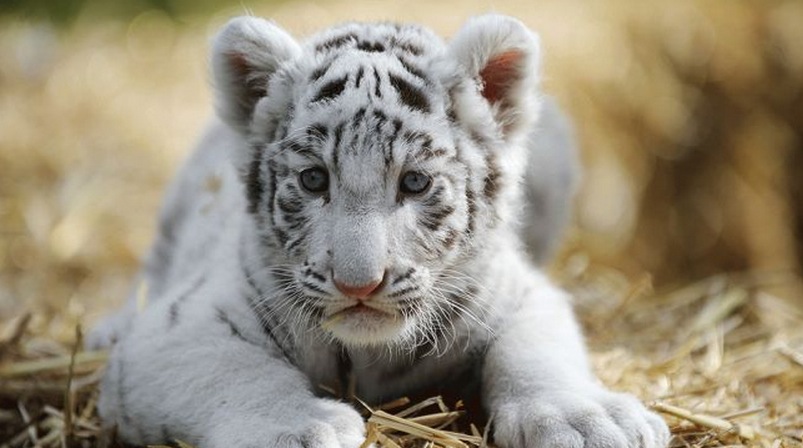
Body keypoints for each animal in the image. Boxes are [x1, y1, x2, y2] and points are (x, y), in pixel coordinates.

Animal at [89, 14, 671, 448]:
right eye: (314, 178)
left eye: (414, 182)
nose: (359, 284)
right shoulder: (177, 328)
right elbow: (232, 371)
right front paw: (301, 427)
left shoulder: (520, 293)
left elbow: (536, 354)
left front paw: (588, 420)